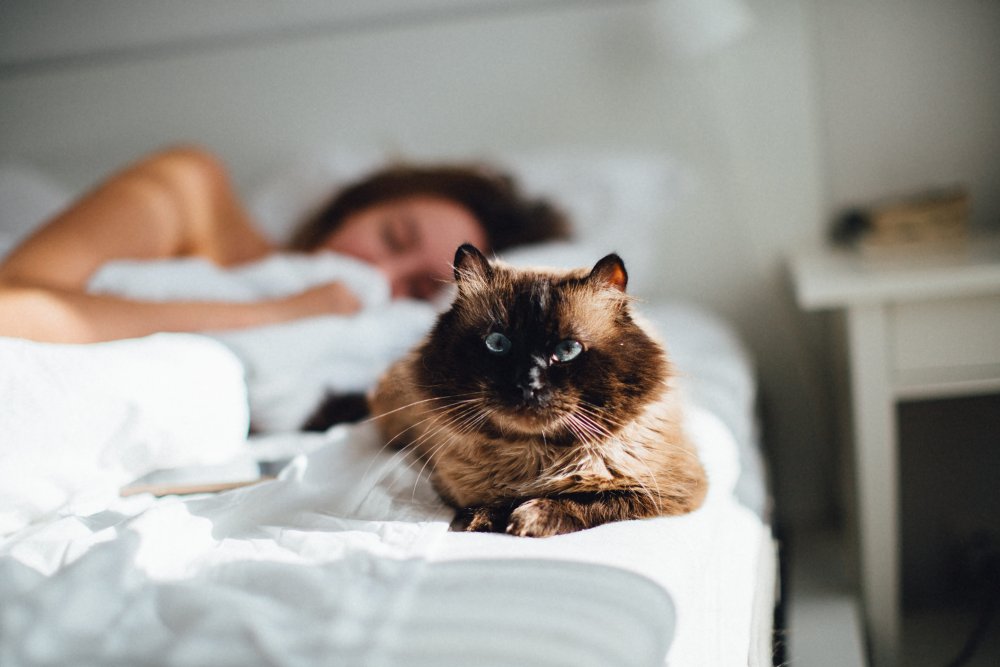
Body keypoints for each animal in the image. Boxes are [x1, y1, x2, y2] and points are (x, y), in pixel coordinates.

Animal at [368, 245, 704, 536]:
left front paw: (528, 519)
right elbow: (491, 502)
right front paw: (485, 520)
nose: (527, 384)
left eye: (567, 350)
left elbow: (584, 502)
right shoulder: (455, 486)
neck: (535, 456)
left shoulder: (660, 492)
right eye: (498, 344)